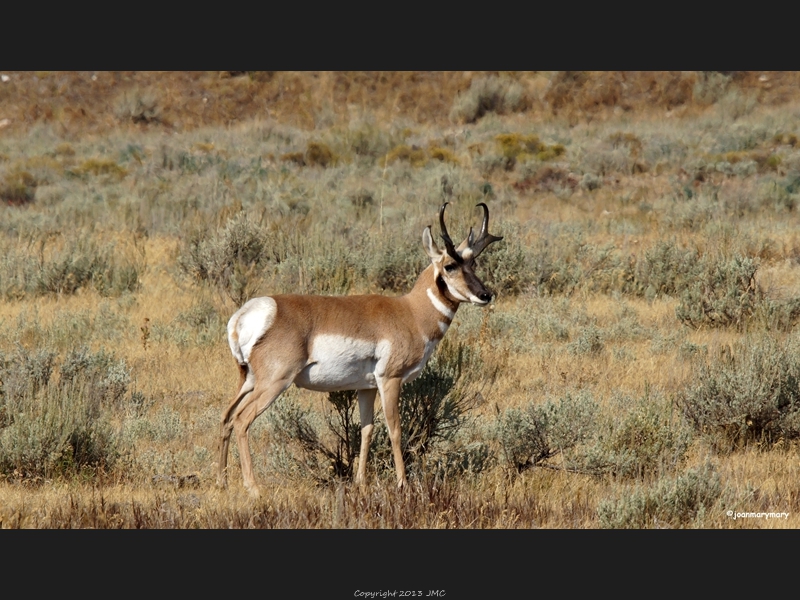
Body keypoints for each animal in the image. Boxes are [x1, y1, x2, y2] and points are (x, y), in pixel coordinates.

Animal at [217, 204, 506, 494]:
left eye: (473, 263)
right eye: (450, 265)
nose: (485, 295)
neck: (410, 312)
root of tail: (249, 313)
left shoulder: (366, 387)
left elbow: (366, 428)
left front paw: (361, 481)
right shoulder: (390, 379)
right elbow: (395, 429)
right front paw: (403, 483)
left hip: (248, 381)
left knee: (226, 417)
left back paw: (223, 481)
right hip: (274, 383)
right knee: (241, 420)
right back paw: (253, 487)